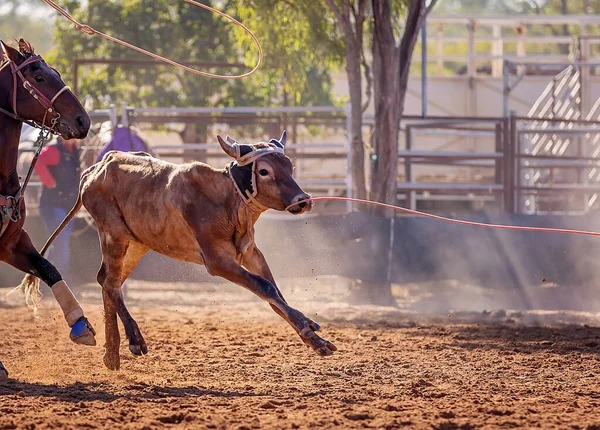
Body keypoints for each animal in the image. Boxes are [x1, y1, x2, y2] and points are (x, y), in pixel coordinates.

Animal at [0, 38, 97, 378]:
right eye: (38, 77)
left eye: (55, 72)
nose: (83, 120)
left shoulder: (12, 242)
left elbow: (48, 267)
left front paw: (80, 325)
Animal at [24, 131, 338, 370]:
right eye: (264, 171)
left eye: (290, 167)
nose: (303, 200)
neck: (225, 201)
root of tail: (94, 170)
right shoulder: (217, 261)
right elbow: (265, 287)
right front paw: (308, 326)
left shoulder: (250, 253)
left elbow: (274, 294)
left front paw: (314, 338)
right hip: (113, 234)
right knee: (111, 283)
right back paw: (134, 340)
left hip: (137, 243)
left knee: (107, 281)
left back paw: (111, 354)